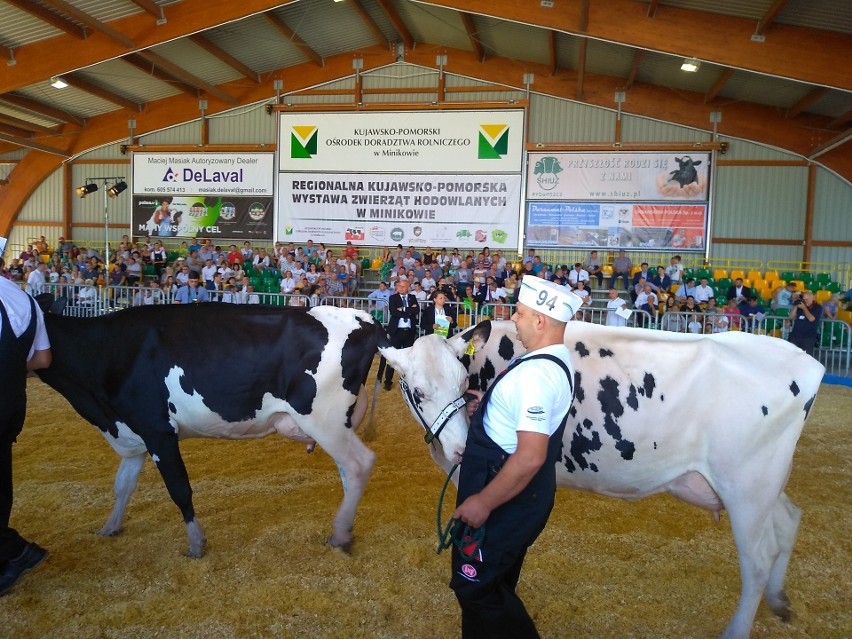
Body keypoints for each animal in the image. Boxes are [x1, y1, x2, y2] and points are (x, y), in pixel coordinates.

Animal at [36, 302, 470, 556]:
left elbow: (179, 489)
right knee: (350, 472)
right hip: (337, 423)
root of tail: (362, 320)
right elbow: (123, 485)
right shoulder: (133, 430)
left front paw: (196, 544)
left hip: (323, 418)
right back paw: (342, 529)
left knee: (359, 464)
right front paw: (109, 528)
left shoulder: (157, 429)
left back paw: (341, 533)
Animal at [388, 322, 824, 639]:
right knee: (789, 520)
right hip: (765, 485)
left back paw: (736, 630)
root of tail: (805, 362)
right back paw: (780, 601)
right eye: (419, 392)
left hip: (746, 487)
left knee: (758, 560)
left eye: (463, 383)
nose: (460, 448)